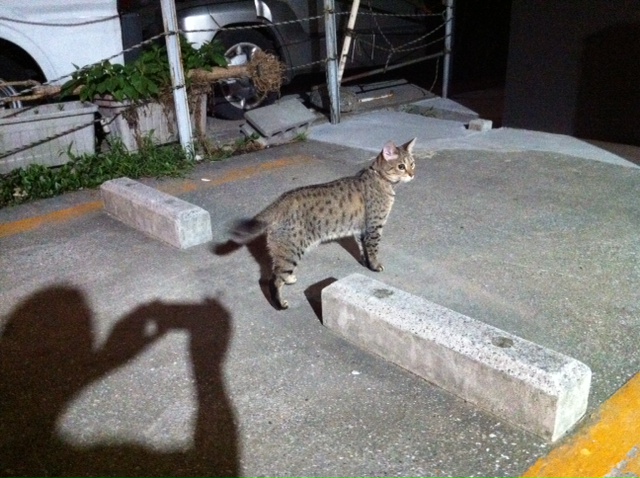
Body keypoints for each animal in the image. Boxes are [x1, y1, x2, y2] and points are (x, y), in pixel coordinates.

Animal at [229, 138, 417, 309]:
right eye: (401, 166)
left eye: (412, 164)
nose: (412, 174)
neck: (380, 179)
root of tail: (280, 201)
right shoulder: (374, 227)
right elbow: (373, 250)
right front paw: (375, 266)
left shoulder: (361, 230)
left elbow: (363, 249)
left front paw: (366, 263)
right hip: (292, 250)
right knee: (273, 279)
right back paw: (280, 304)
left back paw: (289, 280)